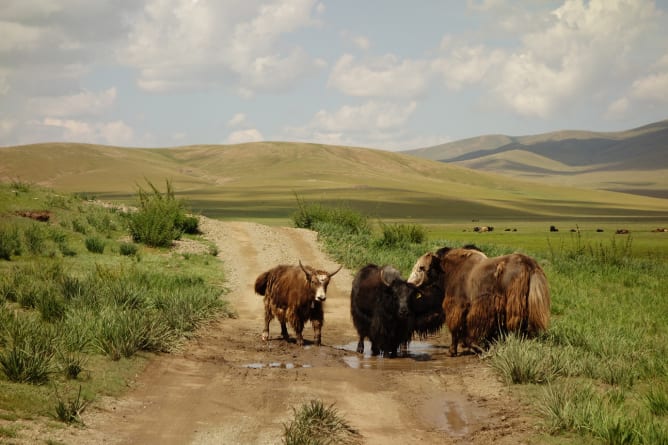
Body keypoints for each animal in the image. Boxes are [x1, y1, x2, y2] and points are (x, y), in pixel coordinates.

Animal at [410, 245, 552, 356]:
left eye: (421, 267)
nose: (410, 284)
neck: (448, 271)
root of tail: (530, 266)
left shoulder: (456, 305)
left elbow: (456, 327)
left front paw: (453, 351)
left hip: (514, 304)